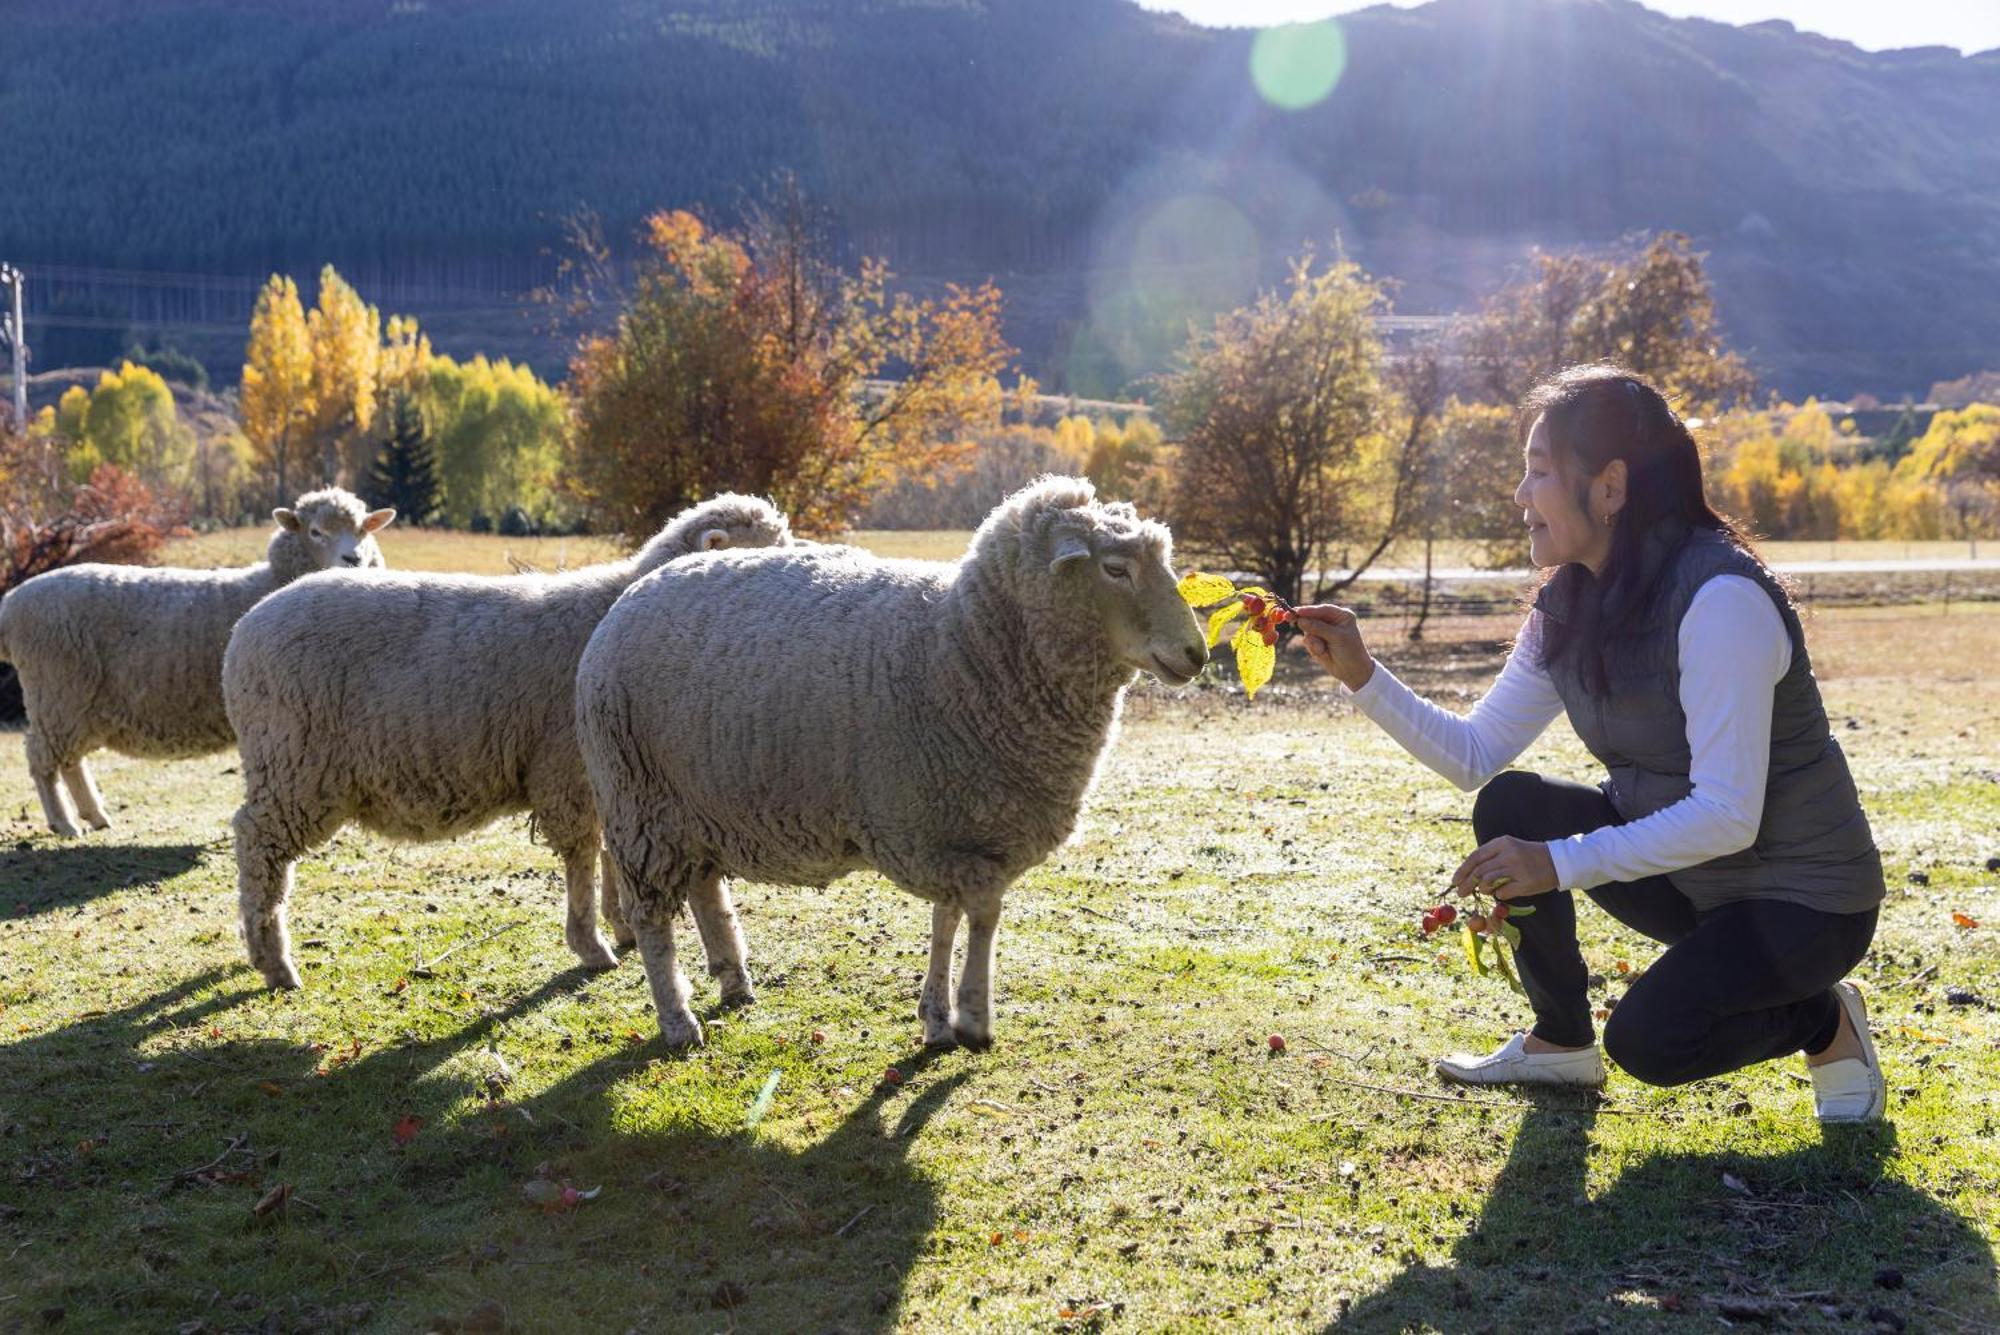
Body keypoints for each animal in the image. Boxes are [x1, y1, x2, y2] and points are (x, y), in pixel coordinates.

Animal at [0, 489, 394, 835]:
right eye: (315, 531)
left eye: (364, 529)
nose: (353, 559)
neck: (267, 579)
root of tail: (11, 602)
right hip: (55, 692)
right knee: (42, 758)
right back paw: (64, 823)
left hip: (74, 704)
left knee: (70, 760)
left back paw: (94, 815)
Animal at [213, 493, 788, 991]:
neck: (610, 604)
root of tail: (244, 629)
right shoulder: (566, 769)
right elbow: (582, 852)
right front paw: (591, 943)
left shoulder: (607, 771)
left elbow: (606, 850)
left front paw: (620, 924)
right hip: (294, 763)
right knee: (256, 842)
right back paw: (273, 960)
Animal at [572, 473, 1208, 1047]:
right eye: (1116, 569)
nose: (1197, 654)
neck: (965, 646)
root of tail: (632, 594)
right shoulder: (939, 828)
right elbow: (971, 915)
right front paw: (962, 1018)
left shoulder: (965, 831)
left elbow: (963, 918)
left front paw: (949, 1017)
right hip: (638, 802)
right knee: (651, 918)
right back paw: (678, 1022)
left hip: (694, 805)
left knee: (705, 887)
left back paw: (734, 982)